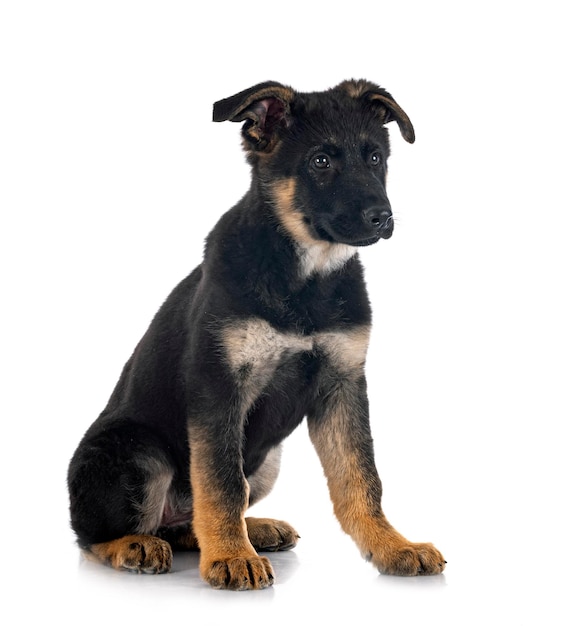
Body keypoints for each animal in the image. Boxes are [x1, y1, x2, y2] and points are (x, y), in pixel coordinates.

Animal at [68, 78, 446, 584]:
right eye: (320, 162)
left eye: (375, 158)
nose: (381, 217)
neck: (304, 278)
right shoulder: (220, 387)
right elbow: (223, 482)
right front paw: (231, 557)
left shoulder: (343, 386)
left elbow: (360, 478)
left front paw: (392, 546)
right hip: (139, 453)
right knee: (92, 536)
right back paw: (136, 544)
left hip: (268, 461)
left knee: (192, 521)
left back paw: (254, 529)